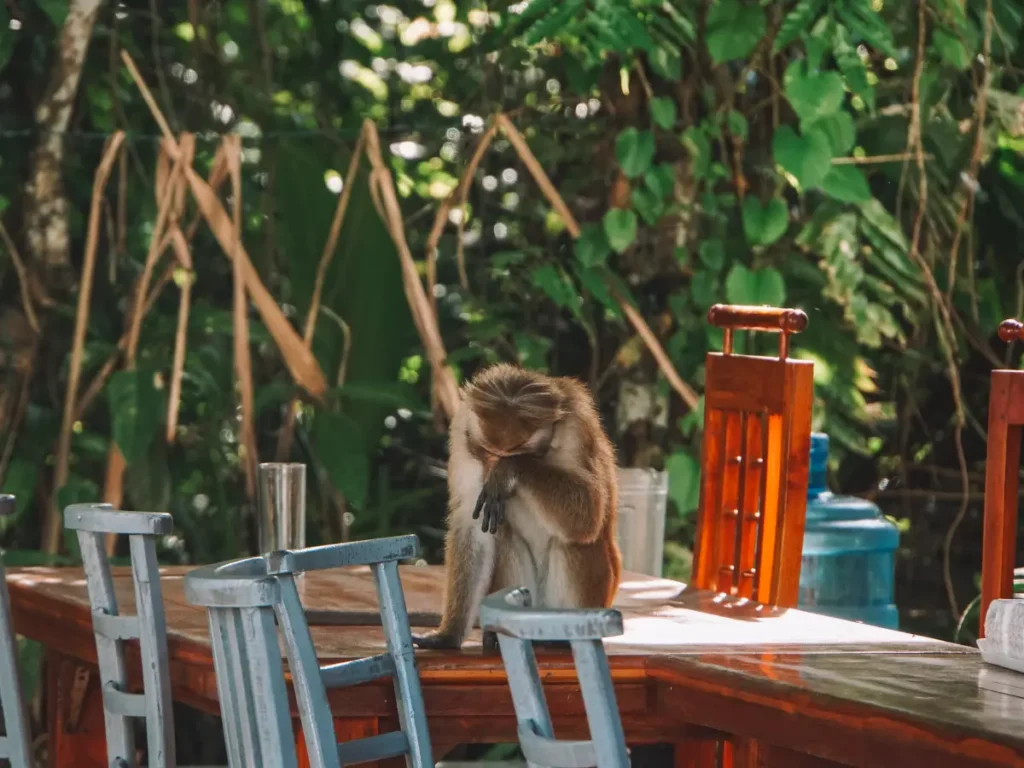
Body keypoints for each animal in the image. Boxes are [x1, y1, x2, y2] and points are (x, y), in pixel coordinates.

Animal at [409, 364, 618, 651]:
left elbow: (589, 514)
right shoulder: (463, 429)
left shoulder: (576, 427)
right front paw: (449, 635)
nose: (490, 471)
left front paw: (510, 470)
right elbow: (472, 525)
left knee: (574, 540)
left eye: (508, 455)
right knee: (505, 534)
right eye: (488, 452)